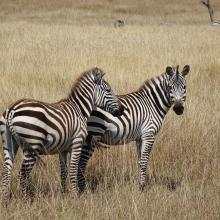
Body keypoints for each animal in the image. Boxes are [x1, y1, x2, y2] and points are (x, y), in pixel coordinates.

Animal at [0, 66, 124, 203]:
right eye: (108, 90)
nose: (122, 110)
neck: (80, 109)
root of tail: (11, 110)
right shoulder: (77, 143)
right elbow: (73, 170)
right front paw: (75, 196)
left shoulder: (62, 149)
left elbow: (63, 172)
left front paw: (64, 193)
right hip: (32, 144)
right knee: (23, 174)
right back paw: (27, 200)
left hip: (9, 143)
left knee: (6, 171)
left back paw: (5, 200)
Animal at [75, 64, 189, 192]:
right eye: (170, 87)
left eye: (184, 87)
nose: (178, 109)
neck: (153, 104)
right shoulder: (149, 135)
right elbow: (144, 161)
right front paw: (142, 187)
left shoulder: (140, 138)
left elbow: (140, 161)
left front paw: (140, 184)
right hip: (93, 135)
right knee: (81, 163)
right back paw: (82, 190)